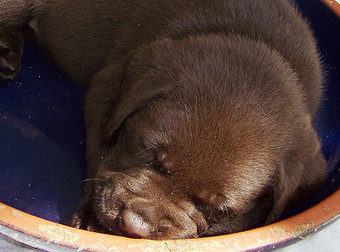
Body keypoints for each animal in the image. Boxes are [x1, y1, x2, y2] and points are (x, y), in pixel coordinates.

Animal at [1, 0, 328, 239]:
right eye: (148, 153)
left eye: (218, 211)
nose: (135, 226)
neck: (251, 40)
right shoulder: (106, 85)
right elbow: (101, 152)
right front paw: (94, 216)